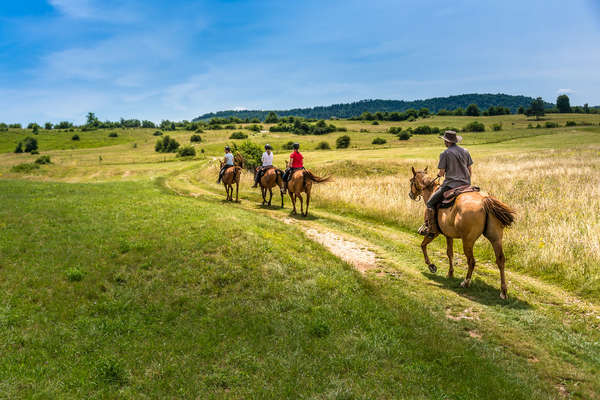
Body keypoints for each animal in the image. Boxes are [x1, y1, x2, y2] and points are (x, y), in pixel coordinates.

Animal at [408, 166, 516, 300]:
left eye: (411, 181)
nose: (411, 194)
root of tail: (484, 200)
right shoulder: (448, 235)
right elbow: (449, 253)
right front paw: (450, 273)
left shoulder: (433, 233)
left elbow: (423, 245)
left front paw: (431, 266)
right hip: (496, 239)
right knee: (500, 260)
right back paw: (503, 292)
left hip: (468, 241)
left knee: (472, 261)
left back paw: (465, 282)